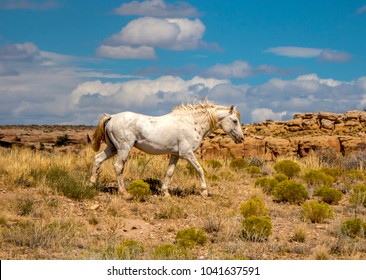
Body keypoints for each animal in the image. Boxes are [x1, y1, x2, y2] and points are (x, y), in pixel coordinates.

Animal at [89, 101, 243, 197]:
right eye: (235, 121)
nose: (241, 139)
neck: (191, 123)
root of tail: (111, 117)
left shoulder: (175, 155)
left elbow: (169, 173)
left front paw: (165, 193)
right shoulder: (187, 153)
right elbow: (200, 169)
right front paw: (204, 192)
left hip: (112, 148)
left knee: (97, 160)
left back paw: (92, 184)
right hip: (123, 148)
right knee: (118, 166)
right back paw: (124, 193)